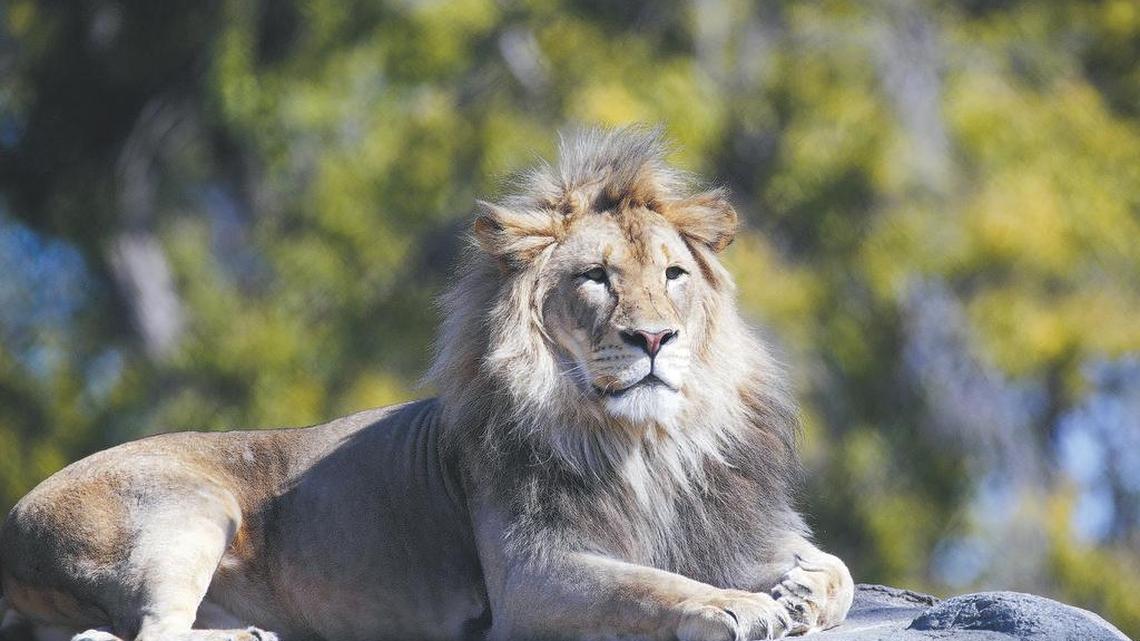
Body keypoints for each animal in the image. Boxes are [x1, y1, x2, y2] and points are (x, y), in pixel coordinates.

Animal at [0, 127, 853, 641]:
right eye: (597, 278)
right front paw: (741, 604)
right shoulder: (532, 578)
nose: (653, 338)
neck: (643, 445)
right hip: (189, 507)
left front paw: (802, 588)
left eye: (674, 275)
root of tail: (12, 524)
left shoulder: (721, 526)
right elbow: (650, 583)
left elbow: (836, 569)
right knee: (143, 632)